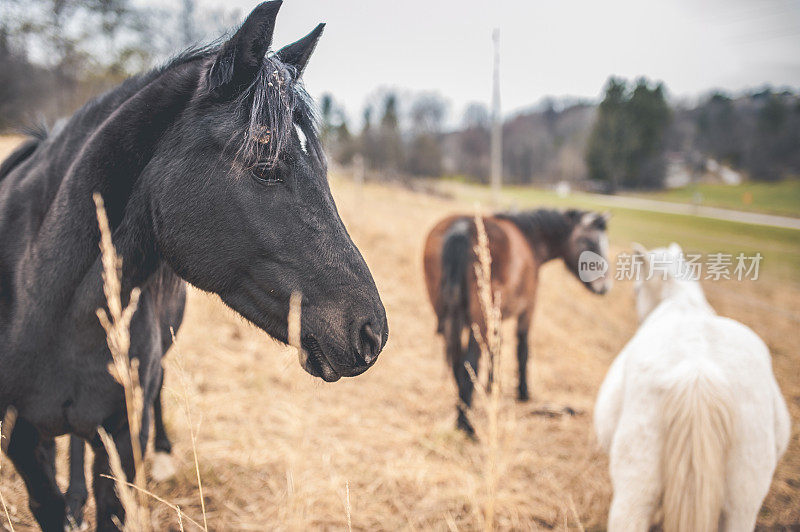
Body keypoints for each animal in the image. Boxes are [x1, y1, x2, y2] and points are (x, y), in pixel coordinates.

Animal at [424, 209, 612, 436]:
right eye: (591, 243)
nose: (604, 287)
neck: (530, 240)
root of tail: (460, 228)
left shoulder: (497, 317)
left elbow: (496, 348)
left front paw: (491, 386)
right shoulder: (527, 310)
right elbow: (523, 349)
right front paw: (523, 392)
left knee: (457, 360)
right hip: (480, 318)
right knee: (470, 361)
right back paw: (466, 424)